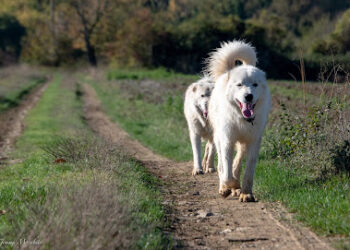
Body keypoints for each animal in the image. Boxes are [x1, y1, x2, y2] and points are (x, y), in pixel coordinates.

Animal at [206, 41, 272, 201]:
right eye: (240, 85)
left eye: (255, 84)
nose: (248, 96)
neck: (242, 120)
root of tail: (228, 72)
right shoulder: (227, 141)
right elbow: (226, 170)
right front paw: (230, 185)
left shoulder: (254, 142)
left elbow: (248, 171)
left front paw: (246, 193)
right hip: (219, 138)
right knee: (221, 166)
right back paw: (226, 187)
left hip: (243, 143)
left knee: (237, 161)